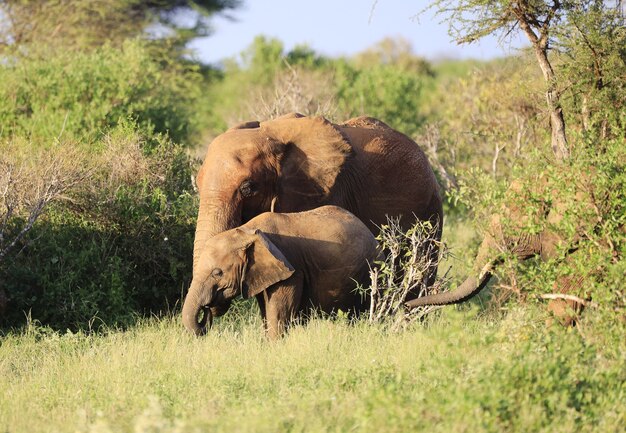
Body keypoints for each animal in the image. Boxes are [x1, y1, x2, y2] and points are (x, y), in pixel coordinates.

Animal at [180, 205, 376, 338]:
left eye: (217, 273)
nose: (207, 308)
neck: (246, 231)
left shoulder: (292, 270)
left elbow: (279, 315)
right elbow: (266, 313)